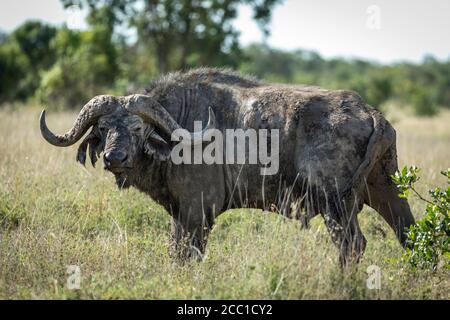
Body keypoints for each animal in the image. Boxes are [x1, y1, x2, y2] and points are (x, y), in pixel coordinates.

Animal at [40, 67, 416, 264]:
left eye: (137, 128)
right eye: (103, 129)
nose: (114, 158)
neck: (180, 126)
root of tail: (370, 112)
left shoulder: (197, 211)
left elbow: (188, 253)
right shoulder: (180, 212)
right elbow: (175, 250)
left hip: (336, 204)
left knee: (352, 246)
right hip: (386, 190)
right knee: (409, 234)